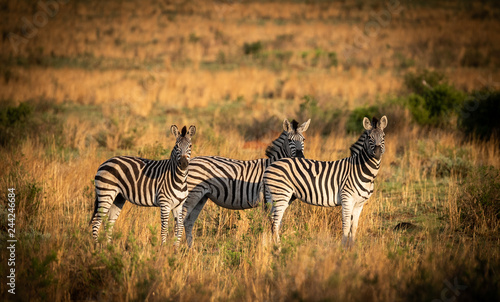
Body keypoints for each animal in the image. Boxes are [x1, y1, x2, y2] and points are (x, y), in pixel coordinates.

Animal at [176, 118, 308, 248]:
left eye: (303, 139)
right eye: (290, 140)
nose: (300, 157)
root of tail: (190, 161)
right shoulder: (266, 199)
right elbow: (269, 224)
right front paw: (268, 246)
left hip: (201, 197)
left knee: (188, 222)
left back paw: (191, 249)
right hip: (191, 195)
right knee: (180, 221)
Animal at [264, 115, 388, 245]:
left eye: (383, 136)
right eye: (369, 137)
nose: (378, 153)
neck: (364, 172)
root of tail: (270, 166)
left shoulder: (359, 203)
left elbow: (354, 227)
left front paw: (352, 247)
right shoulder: (347, 199)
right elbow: (346, 226)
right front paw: (343, 247)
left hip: (285, 196)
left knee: (274, 220)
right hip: (281, 194)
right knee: (275, 222)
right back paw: (278, 246)